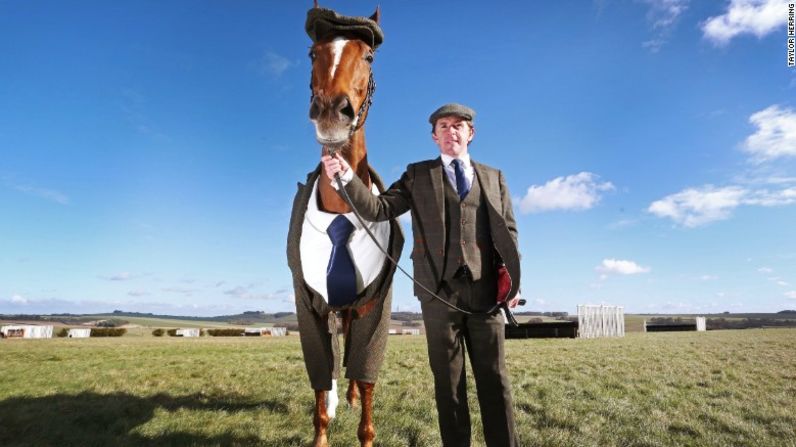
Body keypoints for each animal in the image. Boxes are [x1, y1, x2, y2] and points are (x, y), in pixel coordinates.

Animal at [286, 3, 402, 447]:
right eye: (312, 53)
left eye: (368, 56)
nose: (333, 112)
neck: (341, 207)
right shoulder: (309, 304)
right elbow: (320, 373)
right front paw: (323, 427)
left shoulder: (375, 304)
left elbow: (365, 372)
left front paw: (364, 430)